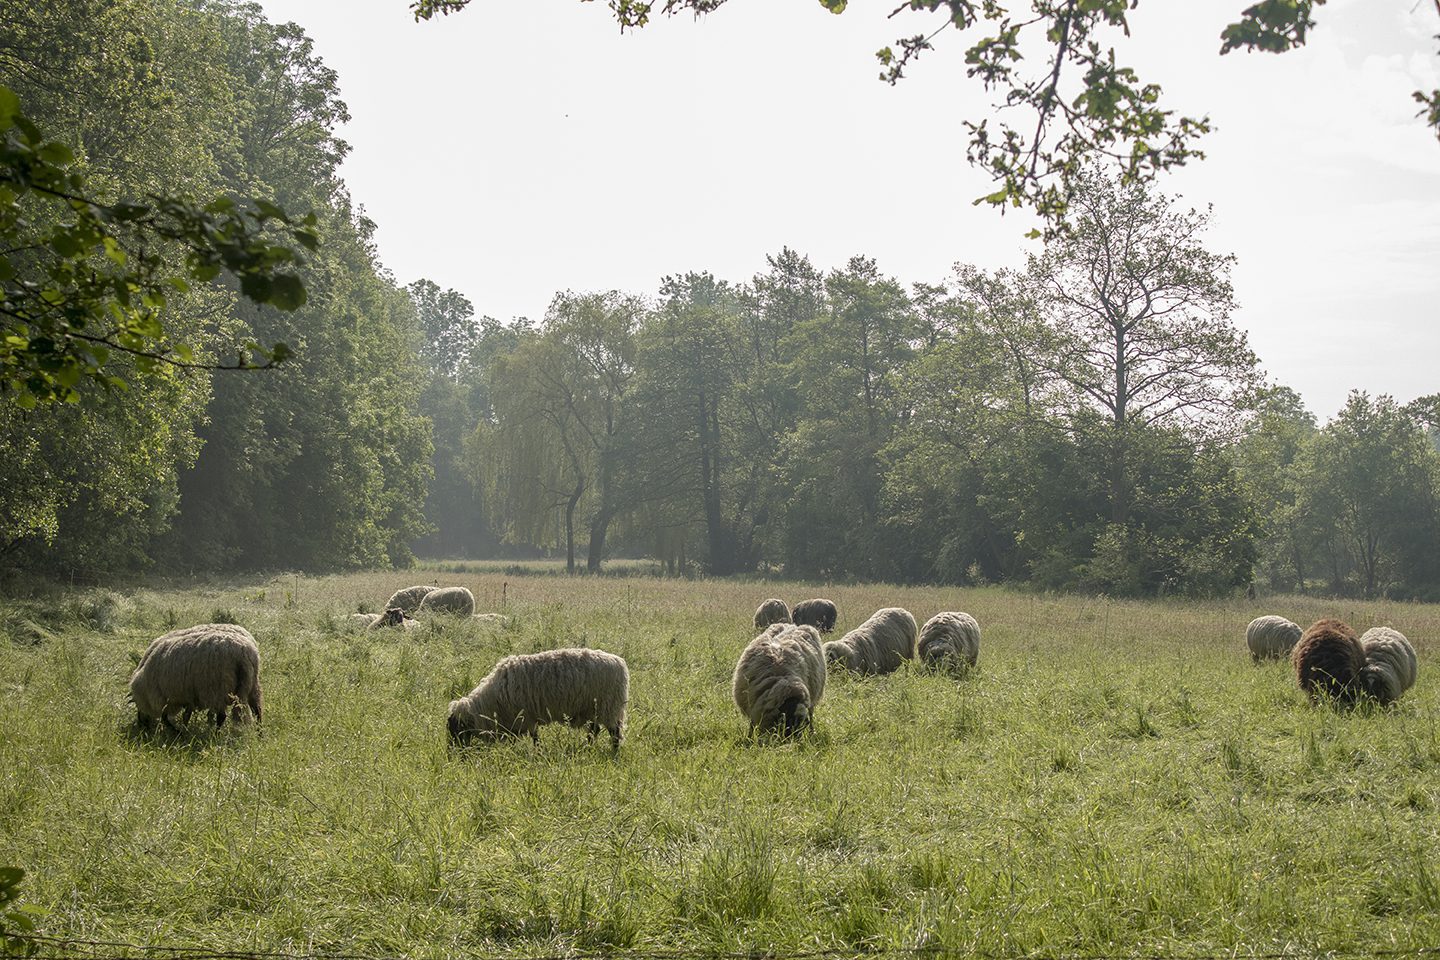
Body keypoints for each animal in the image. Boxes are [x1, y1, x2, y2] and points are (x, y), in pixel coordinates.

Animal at [128, 624, 262, 728]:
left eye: (137, 706)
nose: (141, 725)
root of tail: (243, 652)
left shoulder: (166, 697)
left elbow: (165, 717)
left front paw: (176, 732)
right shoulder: (188, 696)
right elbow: (186, 715)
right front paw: (184, 729)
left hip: (219, 689)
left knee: (222, 716)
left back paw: (216, 734)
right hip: (252, 685)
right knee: (257, 710)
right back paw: (260, 733)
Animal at [446, 650, 627, 754]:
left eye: (457, 729)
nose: (454, 755)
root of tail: (620, 662)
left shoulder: (526, 716)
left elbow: (534, 737)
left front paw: (537, 753)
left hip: (609, 706)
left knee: (614, 733)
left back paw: (614, 753)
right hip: (594, 709)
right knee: (595, 730)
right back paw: (587, 748)